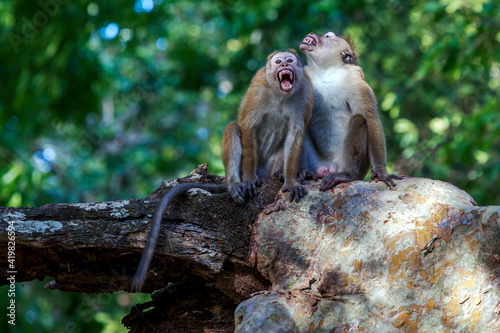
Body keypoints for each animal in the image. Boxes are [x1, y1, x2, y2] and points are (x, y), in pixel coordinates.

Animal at [132, 48, 312, 290]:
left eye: (290, 60)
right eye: (278, 61)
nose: (284, 63)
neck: (280, 95)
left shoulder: (305, 93)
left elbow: (296, 135)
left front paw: (292, 180)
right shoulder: (257, 91)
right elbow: (247, 127)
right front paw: (249, 180)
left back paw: (281, 174)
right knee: (234, 128)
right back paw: (235, 183)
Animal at [296, 32, 402, 191]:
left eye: (327, 36)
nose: (311, 34)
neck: (325, 73)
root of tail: (327, 167)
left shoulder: (356, 82)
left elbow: (370, 118)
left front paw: (381, 171)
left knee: (358, 120)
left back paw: (346, 175)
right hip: (315, 163)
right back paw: (303, 172)